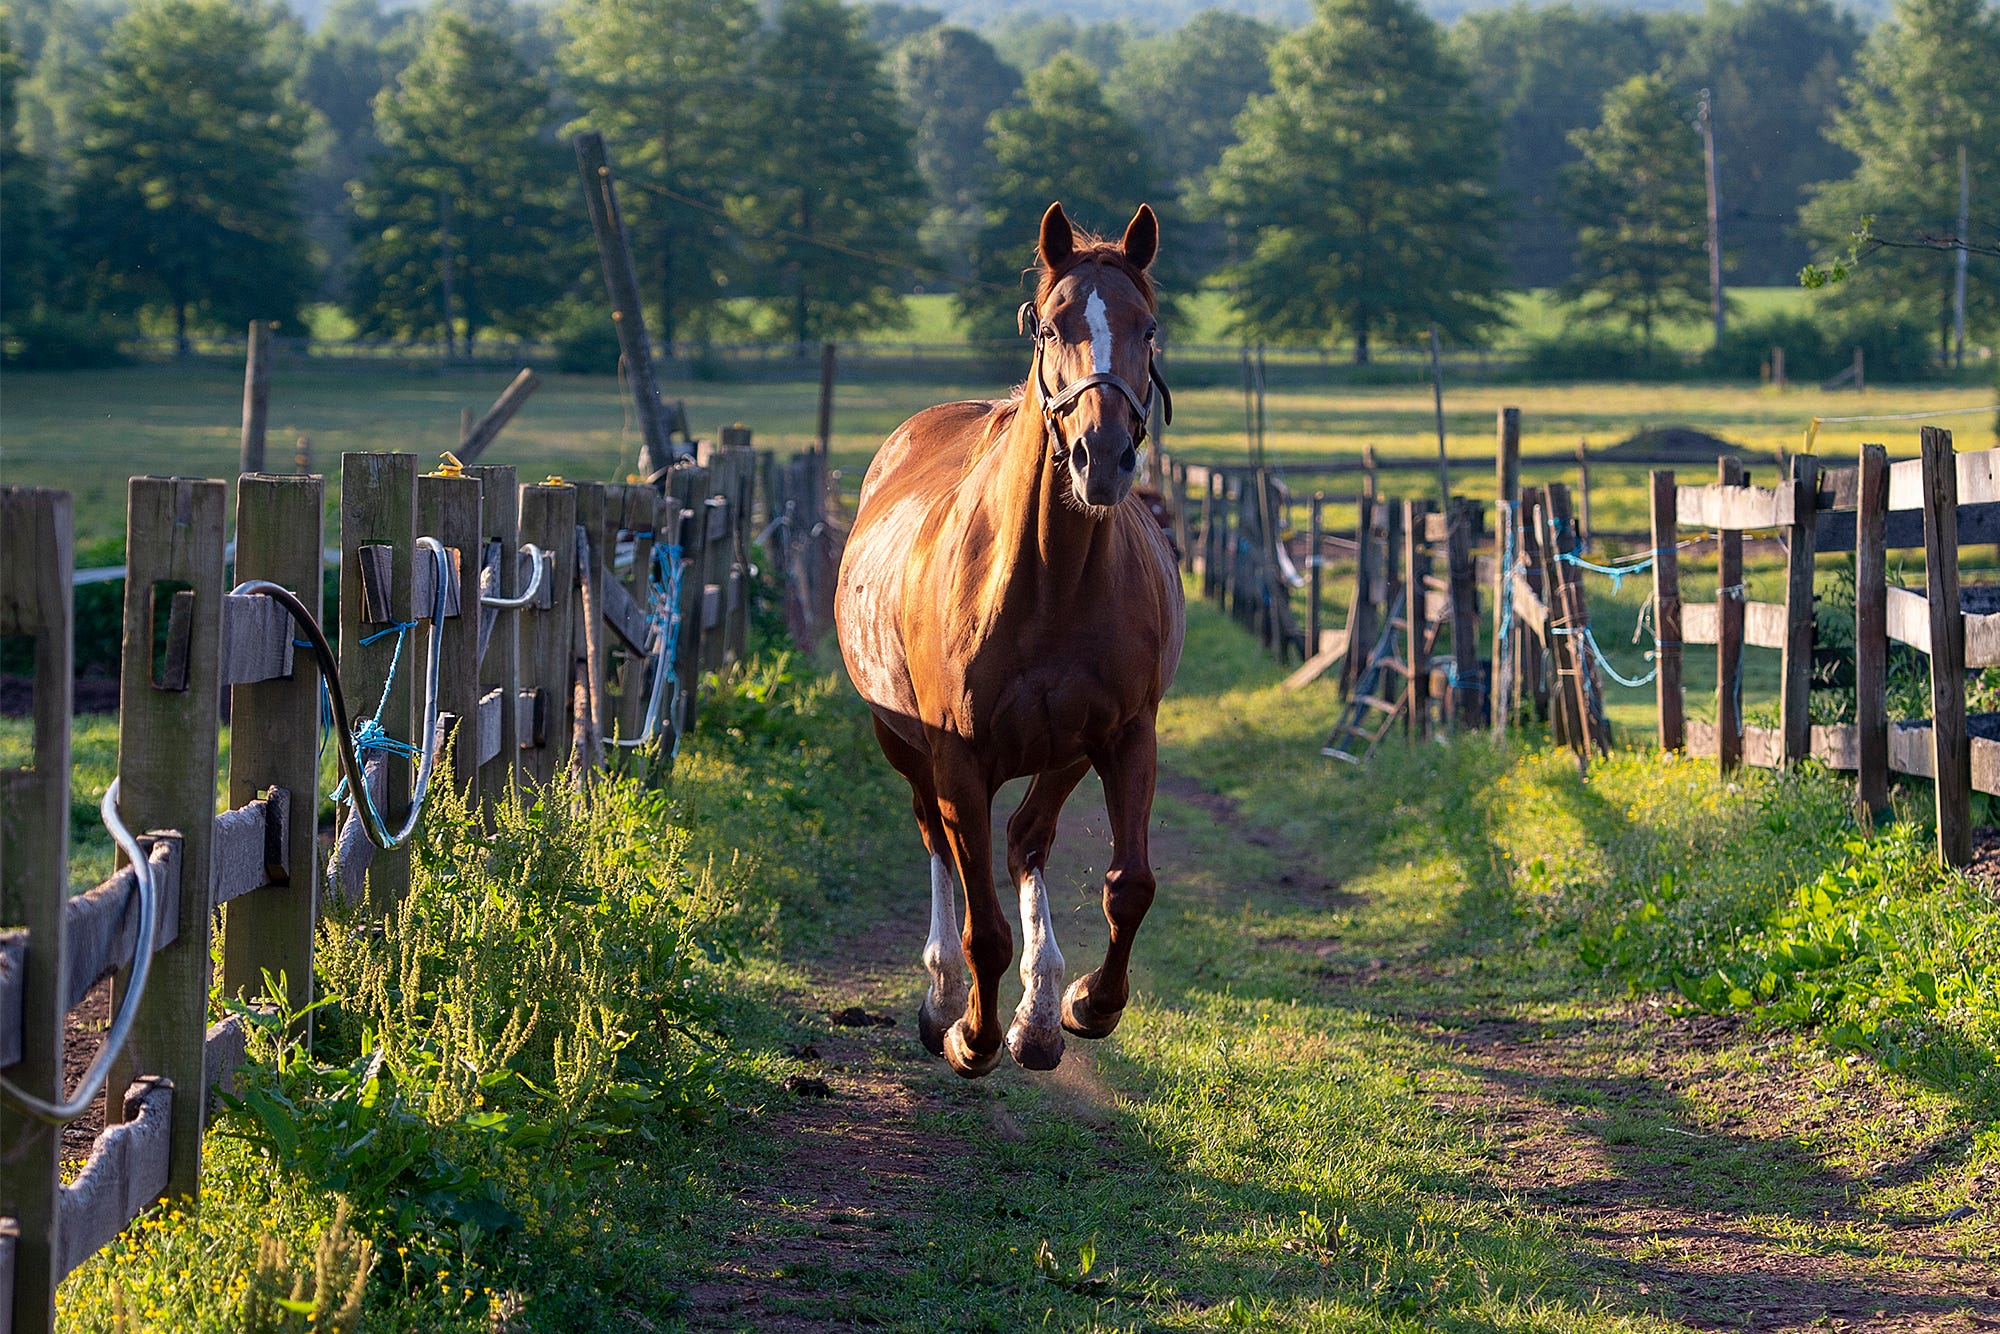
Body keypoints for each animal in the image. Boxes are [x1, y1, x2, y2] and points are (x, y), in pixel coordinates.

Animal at [832, 204, 1176, 1072]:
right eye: (1052, 326)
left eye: (1149, 327)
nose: (1102, 458)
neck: (1045, 585)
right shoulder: (957, 756)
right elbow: (981, 925)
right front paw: (969, 1033)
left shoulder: (1125, 734)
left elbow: (1129, 886)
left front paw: (1085, 1004)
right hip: (904, 745)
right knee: (938, 842)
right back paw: (943, 999)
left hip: (1063, 753)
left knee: (1027, 841)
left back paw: (1041, 1014)